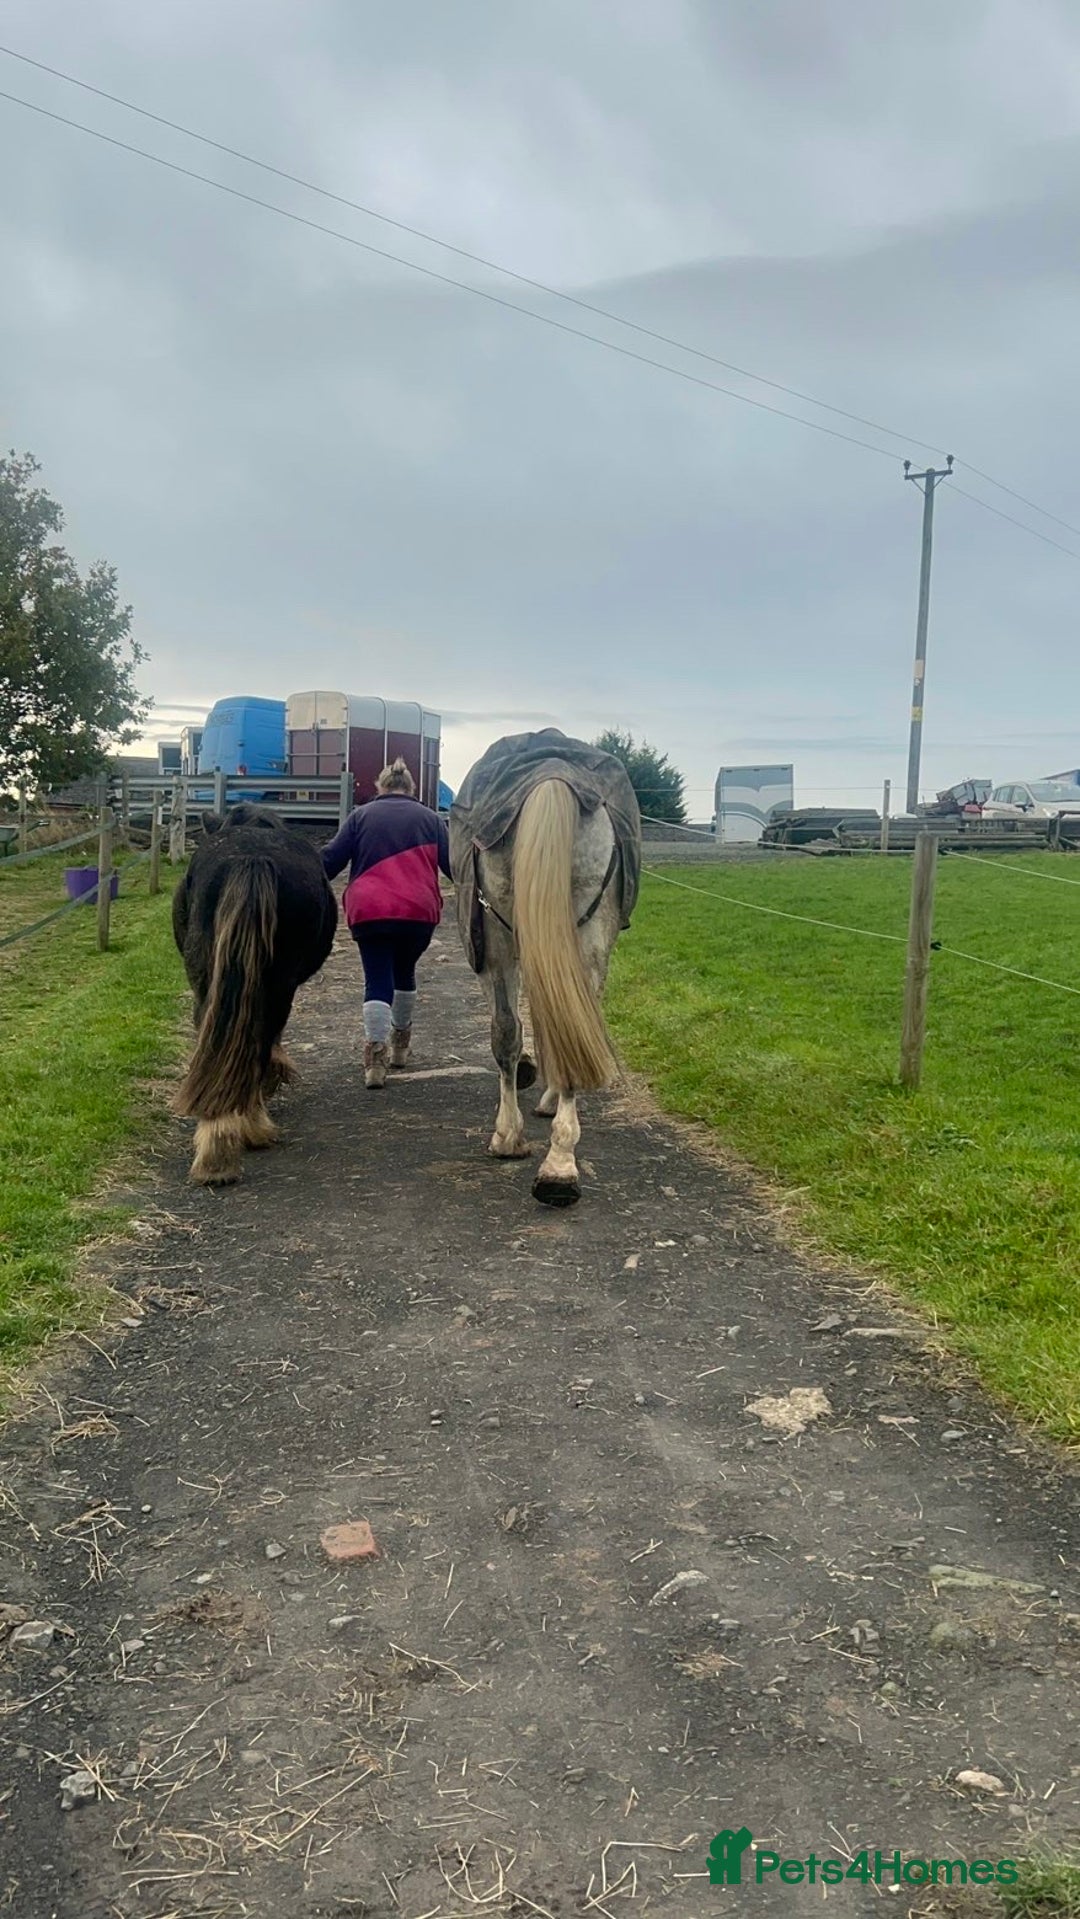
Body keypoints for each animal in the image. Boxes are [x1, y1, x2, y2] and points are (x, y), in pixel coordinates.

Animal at [450, 730, 641, 1205]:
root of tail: (551, 772)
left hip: (500, 944)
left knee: (508, 1030)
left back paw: (521, 1143)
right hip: (587, 936)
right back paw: (560, 1166)